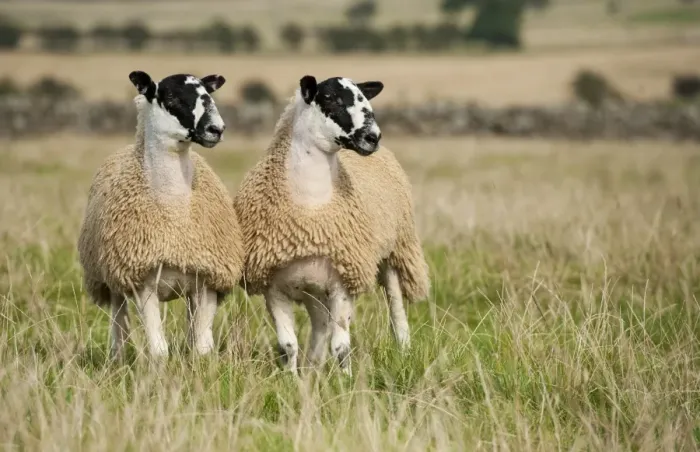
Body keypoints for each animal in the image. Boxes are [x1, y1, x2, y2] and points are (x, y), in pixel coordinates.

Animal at [77, 70, 244, 359]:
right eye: (171, 98)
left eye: (209, 95)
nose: (216, 129)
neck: (174, 211)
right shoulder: (143, 282)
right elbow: (159, 349)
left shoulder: (208, 281)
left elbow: (202, 347)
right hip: (112, 280)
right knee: (118, 321)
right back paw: (117, 359)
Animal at [233, 75, 430, 375]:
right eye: (330, 99)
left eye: (365, 98)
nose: (373, 137)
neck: (312, 210)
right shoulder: (273, 287)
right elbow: (288, 345)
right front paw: (291, 379)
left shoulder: (343, 282)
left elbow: (341, 346)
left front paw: (345, 380)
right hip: (313, 286)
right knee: (320, 324)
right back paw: (313, 366)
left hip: (395, 251)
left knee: (396, 310)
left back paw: (405, 352)